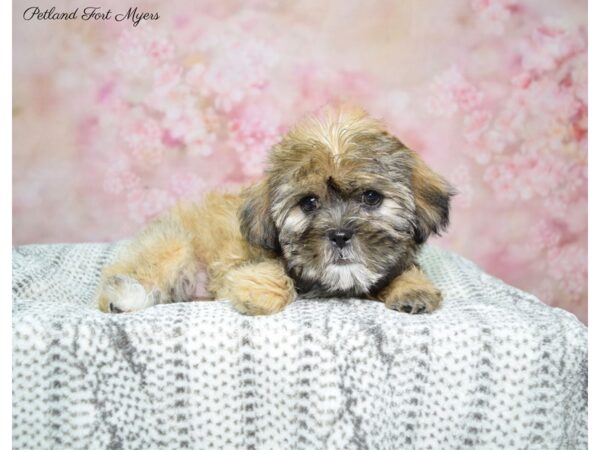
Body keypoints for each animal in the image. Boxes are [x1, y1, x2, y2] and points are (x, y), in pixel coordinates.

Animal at [97, 107, 454, 314]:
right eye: (308, 203)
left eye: (371, 197)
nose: (340, 235)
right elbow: (270, 272)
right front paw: (259, 293)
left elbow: (404, 271)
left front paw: (413, 290)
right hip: (174, 244)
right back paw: (125, 298)